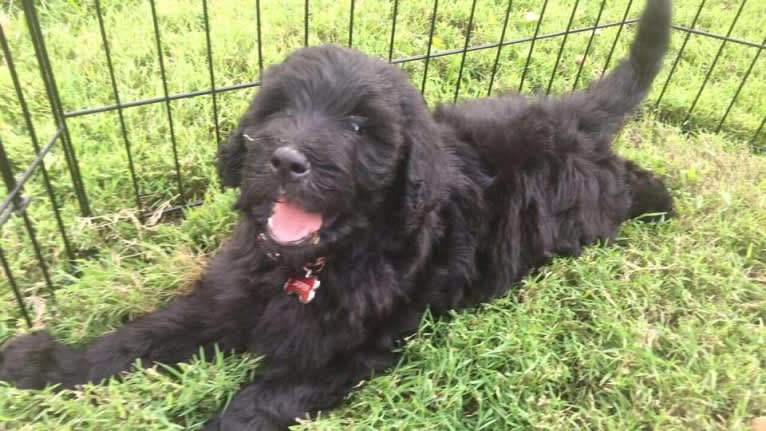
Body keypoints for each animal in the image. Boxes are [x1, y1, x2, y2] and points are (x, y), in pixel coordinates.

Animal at [0, 1, 672, 430]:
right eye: (277, 109)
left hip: (583, 201)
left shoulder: (356, 350)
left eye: (357, 126)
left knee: (627, 181)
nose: (285, 160)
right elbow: (143, 334)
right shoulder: (225, 295)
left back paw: (664, 203)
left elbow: (264, 399)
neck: (314, 263)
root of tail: (566, 116)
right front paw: (50, 363)